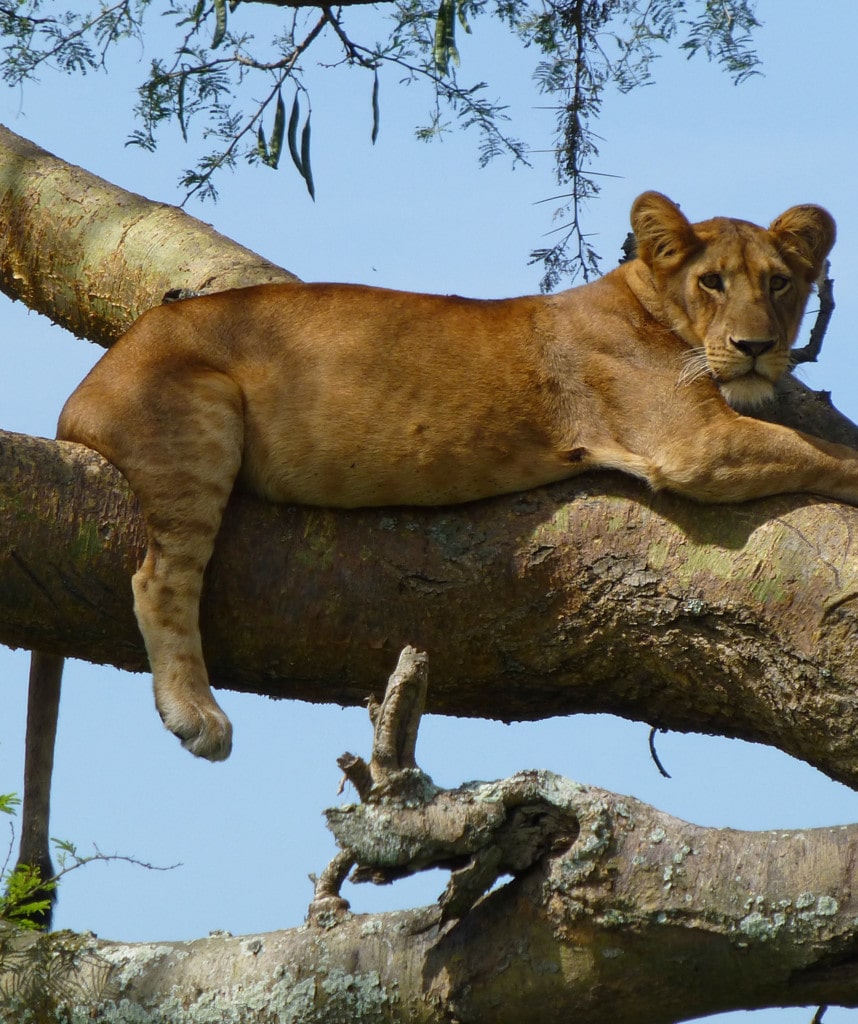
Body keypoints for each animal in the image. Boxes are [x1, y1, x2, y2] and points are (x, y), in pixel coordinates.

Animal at [16, 190, 853, 926]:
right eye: (712, 282)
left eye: (780, 283)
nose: (758, 348)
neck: (651, 305)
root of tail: (79, 394)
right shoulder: (689, 444)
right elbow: (831, 452)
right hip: (198, 423)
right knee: (157, 577)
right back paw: (197, 714)